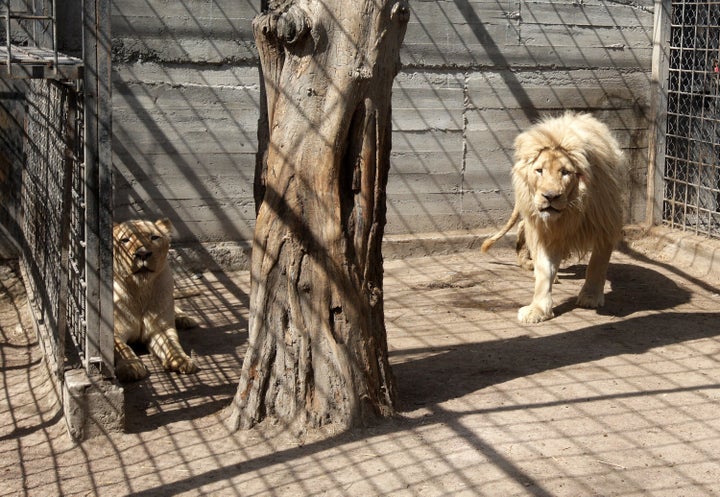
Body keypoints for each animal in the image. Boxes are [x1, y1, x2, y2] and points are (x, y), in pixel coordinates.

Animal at [113, 219, 198, 382]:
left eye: (154, 237)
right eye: (125, 240)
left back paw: (185, 319)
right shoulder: (112, 330)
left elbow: (172, 343)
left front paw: (182, 360)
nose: (142, 254)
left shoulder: (161, 328)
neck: (141, 289)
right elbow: (121, 348)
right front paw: (131, 366)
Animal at [484, 111, 624, 322]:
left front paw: (590, 297)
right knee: (523, 227)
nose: (550, 196)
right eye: (539, 170)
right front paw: (537, 309)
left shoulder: (605, 223)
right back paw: (531, 264)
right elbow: (544, 271)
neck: (571, 211)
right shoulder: (545, 232)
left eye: (565, 172)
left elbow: (597, 264)